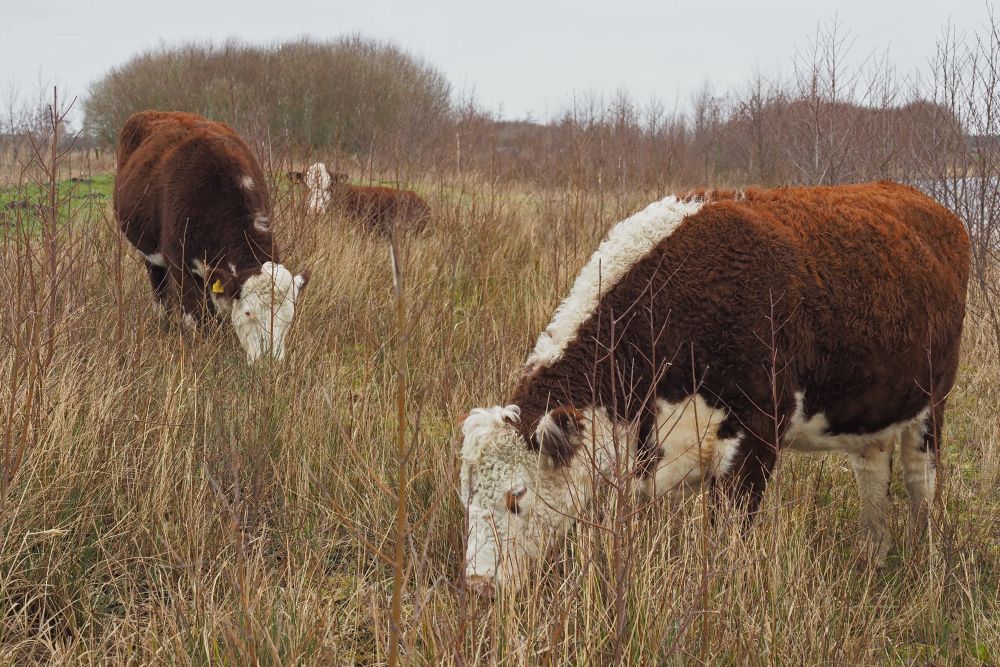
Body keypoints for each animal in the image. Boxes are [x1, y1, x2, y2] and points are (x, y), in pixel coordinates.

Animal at [115, 110, 311, 363]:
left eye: (289, 316)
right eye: (248, 312)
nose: (269, 363)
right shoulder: (181, 267)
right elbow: (200, 318)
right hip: (148, 251)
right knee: (158, 286)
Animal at [459, 181, 970, 595]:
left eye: (516, 496)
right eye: (466, 495)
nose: (478, 585)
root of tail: (924, 201)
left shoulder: (756, 437)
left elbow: (728, 541)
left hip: (933, 400)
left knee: (920, 479)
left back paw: (925, 562)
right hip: (871, 407)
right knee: (872, 471)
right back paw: (872, 555)